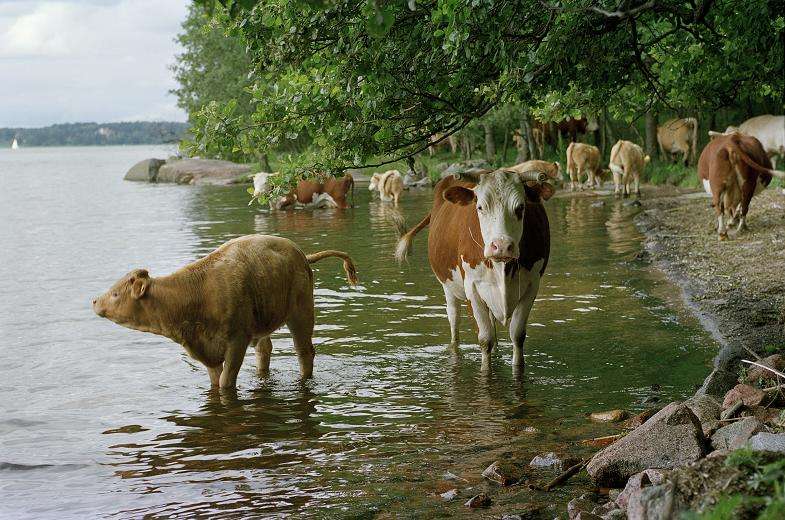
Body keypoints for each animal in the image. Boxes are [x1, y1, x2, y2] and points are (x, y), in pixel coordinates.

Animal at [92, 236, 358, 390]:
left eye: (115, 294)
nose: (94, 300)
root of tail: (301, 252)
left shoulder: (237, 339)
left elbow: (225, 381)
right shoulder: (206, 349)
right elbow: (215, 379)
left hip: (301, 311)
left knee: (304, 352)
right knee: (265, 349)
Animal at [396, 167, 556, 370]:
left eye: (520, 207)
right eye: (480, 207)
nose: (501, 246)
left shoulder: (532, 285)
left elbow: (517, 336)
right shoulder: (472, 287)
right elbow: (485, 339)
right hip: (448, 286)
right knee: (454, 320)